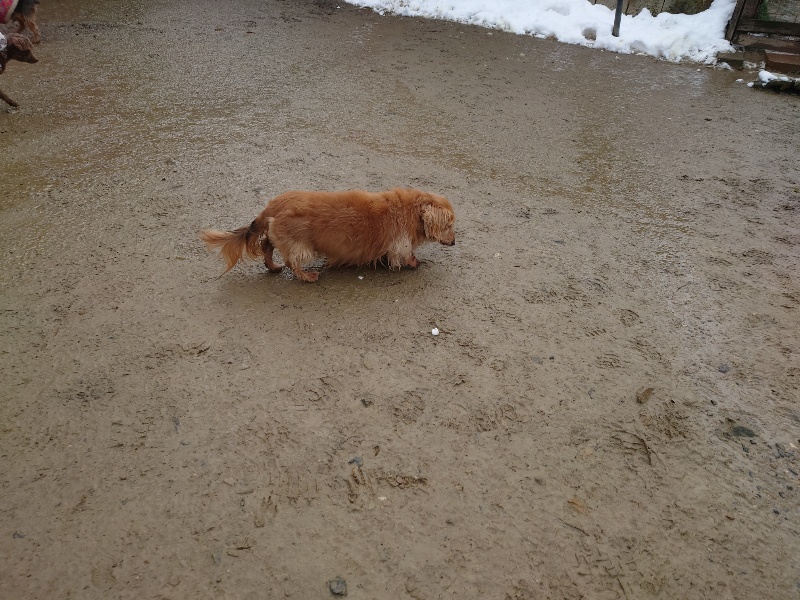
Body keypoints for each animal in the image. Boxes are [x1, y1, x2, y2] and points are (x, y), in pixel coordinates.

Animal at [200, 188, 456, 282]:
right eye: (450, 224)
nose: (454, 243)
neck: (412, 210)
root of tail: (272, 206)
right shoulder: (400, 244)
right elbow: (406, 255)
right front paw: (414, 262)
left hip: (278, 235)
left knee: (267, 248)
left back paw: (272, 267)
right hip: (302, 246)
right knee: (292, 261)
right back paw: (307, 276)